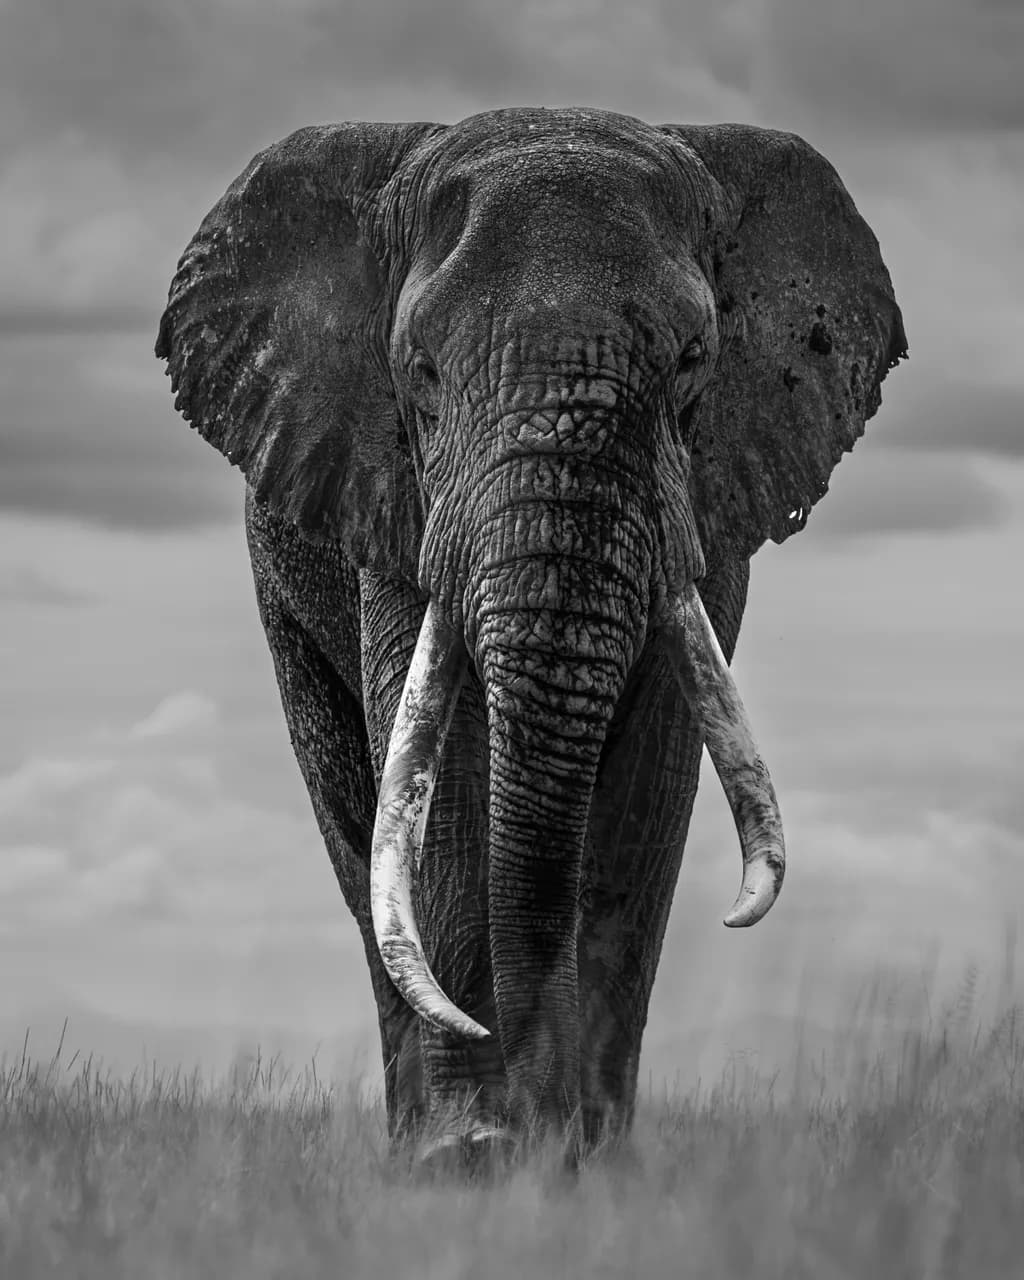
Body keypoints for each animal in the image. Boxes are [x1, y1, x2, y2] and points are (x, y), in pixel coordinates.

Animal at [156, 106, 906, 1162]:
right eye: (421, 373)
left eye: (694, 362)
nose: (544, 1125)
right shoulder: (396, 499)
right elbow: (441, 771)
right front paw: (468, 1158)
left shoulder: (706, 510)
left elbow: (652, 775)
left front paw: (588, 1161)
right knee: (360, 846)